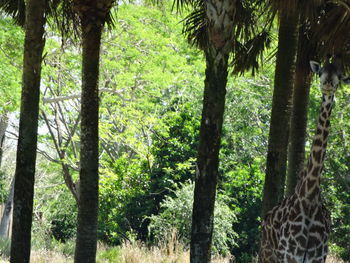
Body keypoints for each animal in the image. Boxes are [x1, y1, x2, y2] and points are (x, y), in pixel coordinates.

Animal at [258, 58, 350, 263]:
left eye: (340, 76)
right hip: (268, 255)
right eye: (320, 72)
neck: (308, 198)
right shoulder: (290, 256)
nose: (327, 84)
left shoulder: (317, 258)